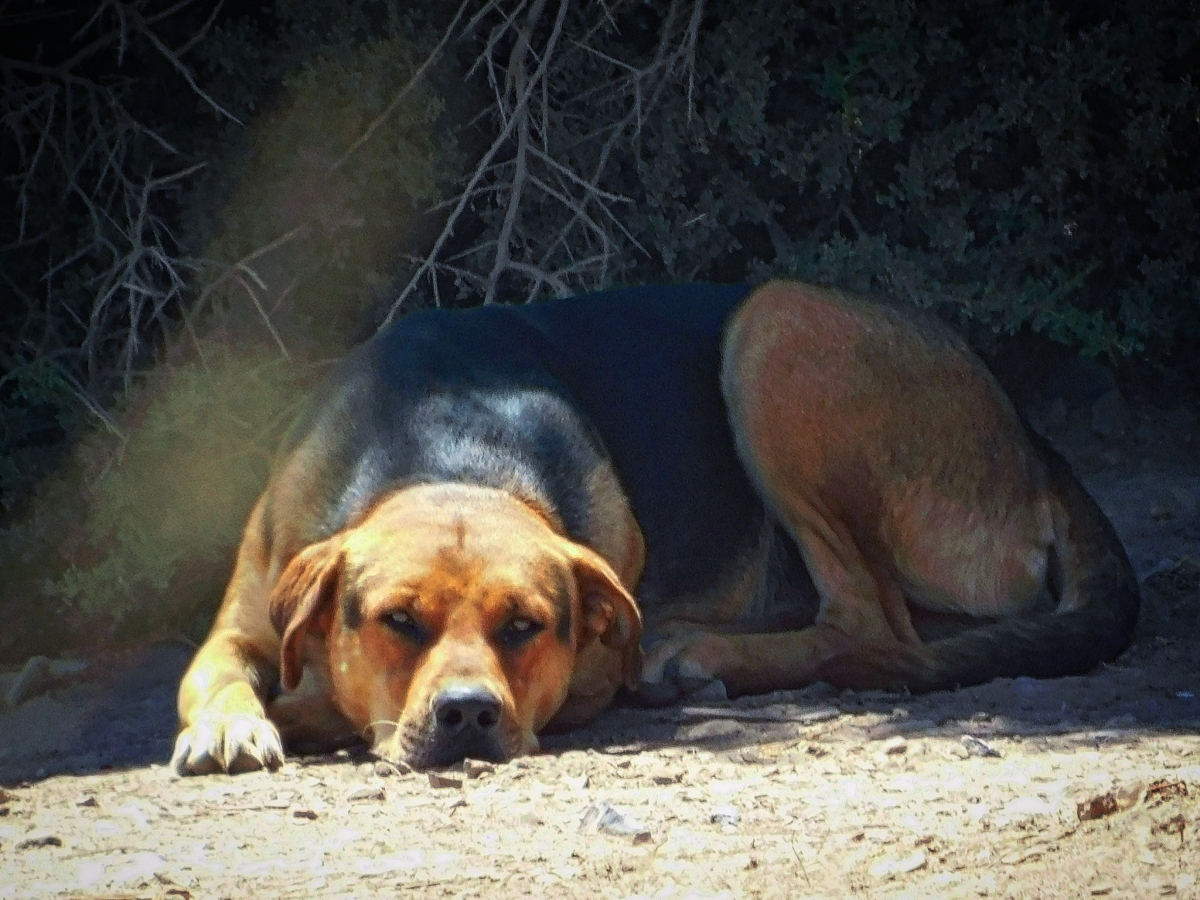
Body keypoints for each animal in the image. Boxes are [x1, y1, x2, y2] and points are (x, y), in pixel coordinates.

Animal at [169, 280, 1132, 777]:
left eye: (527, 628)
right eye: (396, 621)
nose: (468, 716)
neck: (443, 450)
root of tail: (1028, 437)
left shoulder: (593, 670)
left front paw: (306, 710)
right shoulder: (239, 626)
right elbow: (216, 677)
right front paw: (232, 726)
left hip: (775, 326)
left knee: (871, 625)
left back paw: (702, 651)